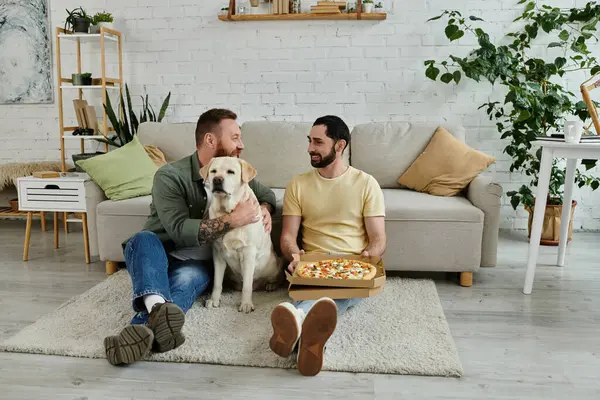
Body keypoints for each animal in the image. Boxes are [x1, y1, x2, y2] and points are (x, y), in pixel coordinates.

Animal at [200, 156, 282, 312]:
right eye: (213, 171)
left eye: (231, 172)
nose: (217, 180)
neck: (227, 212)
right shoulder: (218, 253)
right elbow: (217, 283)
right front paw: (214, 300)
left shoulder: (248, 252)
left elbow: (247, 285)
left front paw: (245, 304)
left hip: (275, 263)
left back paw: (271, 285)